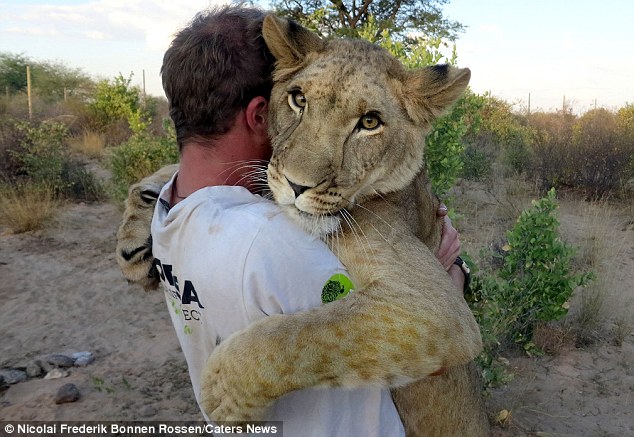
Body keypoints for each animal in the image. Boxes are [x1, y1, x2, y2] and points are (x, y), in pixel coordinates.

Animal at [115, 14, 488, 436]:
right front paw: (136, 234)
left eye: (369, 122)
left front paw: (221, 395)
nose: (297, 186)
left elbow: (303, 336)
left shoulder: (435, 307)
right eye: (299, 99)